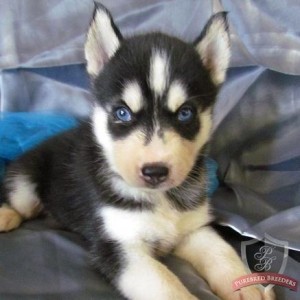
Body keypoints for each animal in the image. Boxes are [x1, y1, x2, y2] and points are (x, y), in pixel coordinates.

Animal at [0, 2, 276, 300]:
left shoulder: (193, 228)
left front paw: (247, 286)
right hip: (26, 182)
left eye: (185, 113)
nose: (155, 171)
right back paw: (6, 215)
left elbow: (221, 251)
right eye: (122, 113)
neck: (160, 198)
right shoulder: (120, 247)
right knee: (19, 200)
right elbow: (167, 286)